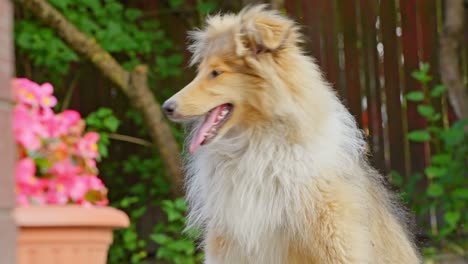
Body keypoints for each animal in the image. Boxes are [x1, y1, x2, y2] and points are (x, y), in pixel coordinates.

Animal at [162, 4, 420, 264]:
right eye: (199, 71)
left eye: (216, 73)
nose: (166, 107)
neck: (253, 144)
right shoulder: (227, 242)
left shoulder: (334, 238)